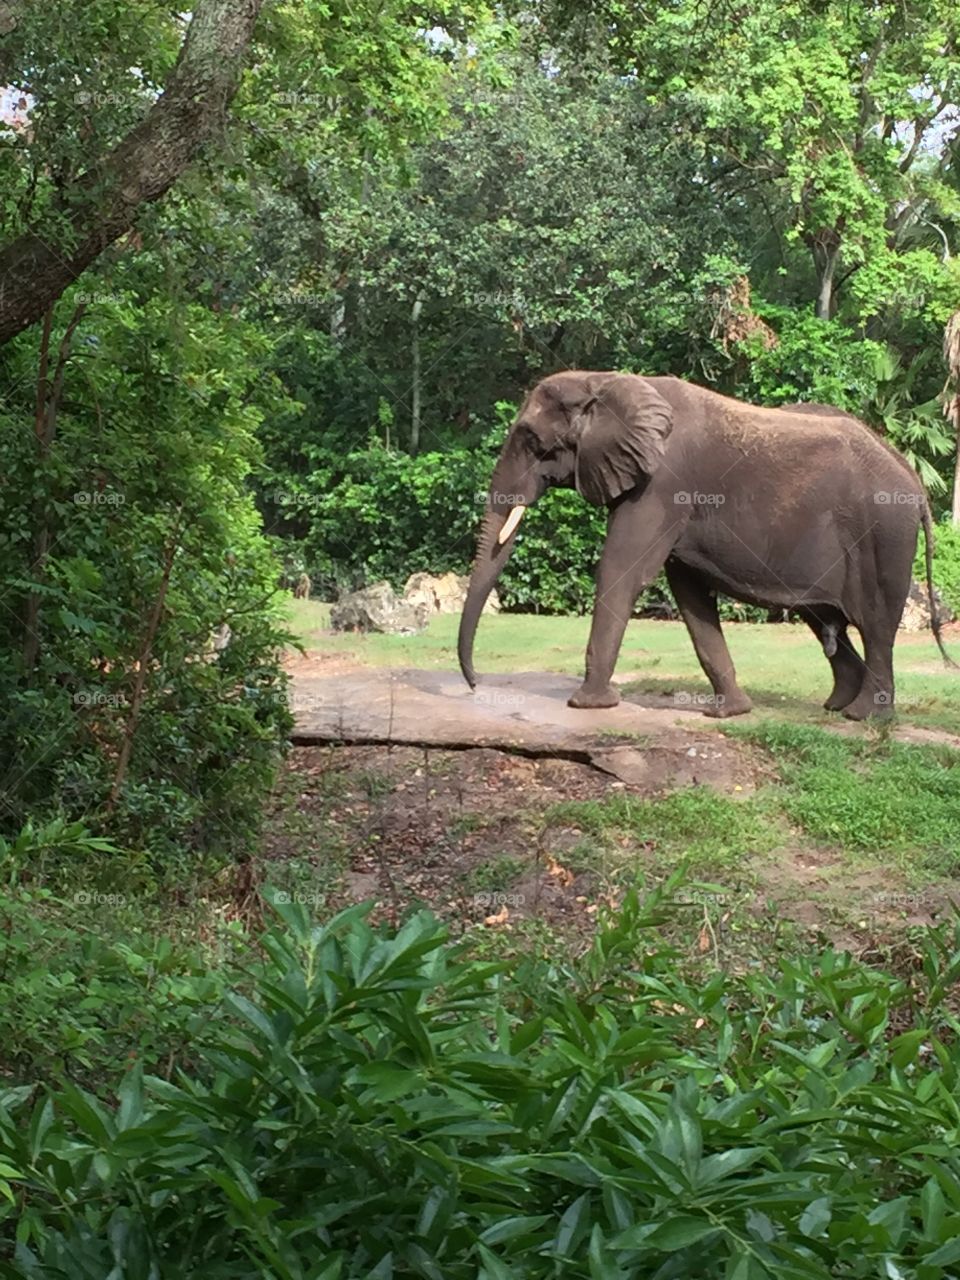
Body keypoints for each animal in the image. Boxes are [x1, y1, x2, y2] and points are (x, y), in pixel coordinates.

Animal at [458, 371, 954, 720]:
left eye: (530, 440)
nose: (477, 684)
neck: (605, 381)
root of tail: (914, 481)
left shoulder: (660, 486)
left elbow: (622, 570)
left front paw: (588, 705)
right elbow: (689, 593)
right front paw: (728, 712)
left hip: (884, 534)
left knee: (875, 624)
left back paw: (865, 717)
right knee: (823, 619)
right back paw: (836, 707)